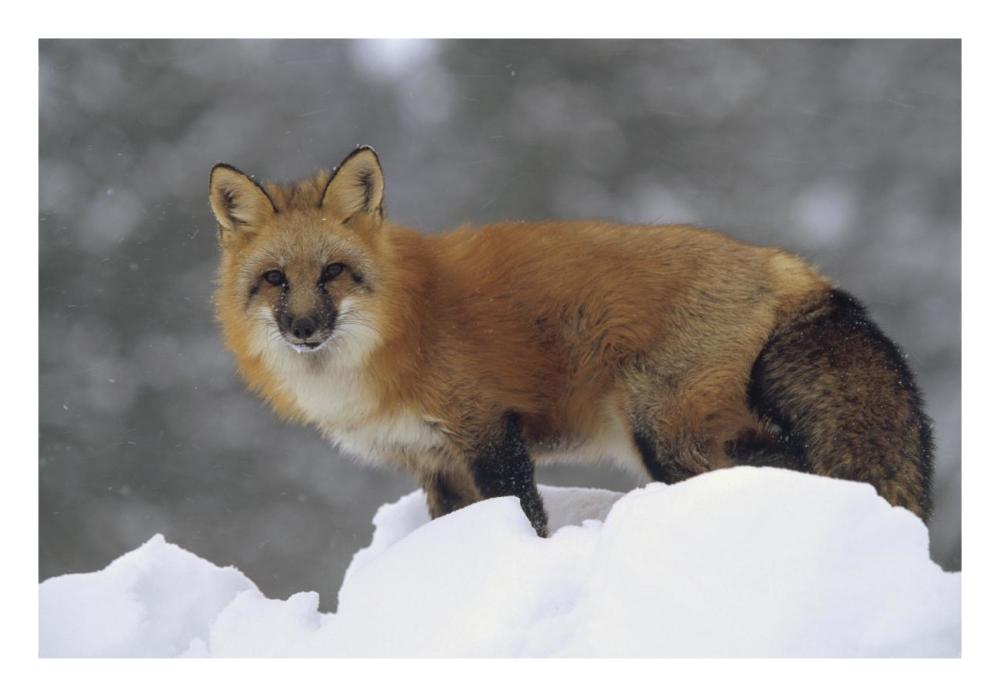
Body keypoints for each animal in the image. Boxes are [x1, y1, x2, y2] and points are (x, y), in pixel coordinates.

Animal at [210, 145, 934, 536]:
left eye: (333, 272)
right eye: (275, 280)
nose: (305, 328)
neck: (399, 328)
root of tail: (787, 265)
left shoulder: (488, 431)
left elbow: (524, 514)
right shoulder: (435, 462)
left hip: (665, 436)